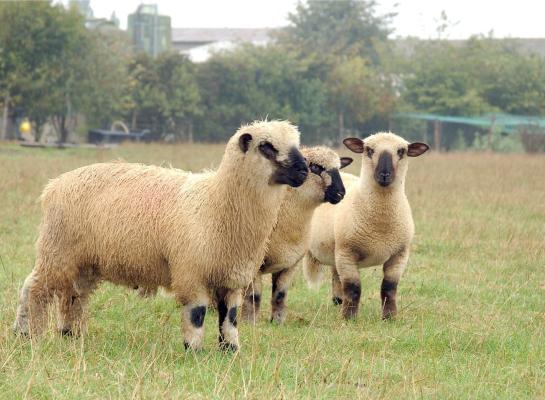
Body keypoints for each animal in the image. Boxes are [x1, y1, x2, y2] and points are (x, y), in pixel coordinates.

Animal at [12, 120, 308, 352]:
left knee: (73, 295)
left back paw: (69, 334)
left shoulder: (232, 278)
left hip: (83, 261)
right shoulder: (191, 274)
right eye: (266, 146)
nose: (304, 170)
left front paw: (230, 350)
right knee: (34, 287)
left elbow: (231, 318)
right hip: (57, 250)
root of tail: (54, 185)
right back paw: (27, 333)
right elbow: (197, 314)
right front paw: (193, 351)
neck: (216, 203)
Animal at [241, 145, 352, 324]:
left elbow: (280, 295)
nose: (340, 193)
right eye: (315, 167)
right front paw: (249, 322)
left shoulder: (290, 263)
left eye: (339, 168)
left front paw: (277, 322)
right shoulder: (254, 263)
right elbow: (253, 296)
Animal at [304, 133, 428, 320]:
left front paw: (389, 317)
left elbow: (389, 287)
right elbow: (353, 287)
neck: (381, 224)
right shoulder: (347, 253)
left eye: (401, 151)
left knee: (335, 275)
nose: (384, 174)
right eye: (369, 150)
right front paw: (349, 318)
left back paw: (338, 300)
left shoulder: (400, 254)